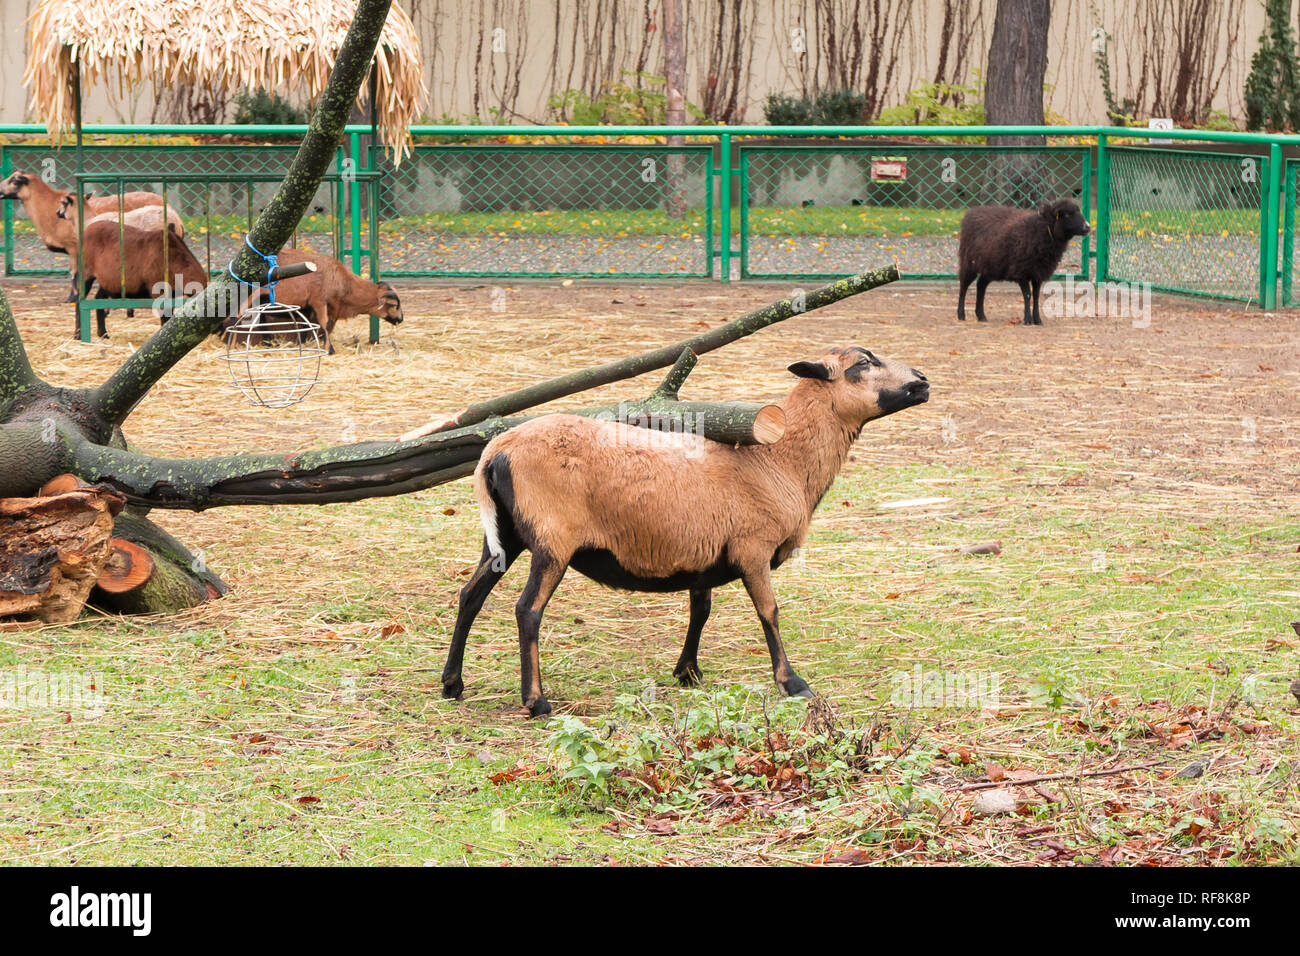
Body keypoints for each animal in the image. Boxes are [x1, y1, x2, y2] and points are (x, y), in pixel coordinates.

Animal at [236, 251, 403, 356]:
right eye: (394, 305)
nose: (401, 319)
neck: (345, 284)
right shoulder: (319, 301)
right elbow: (323, 324)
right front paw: (329, 350)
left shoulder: (311, 307)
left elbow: (309, 325)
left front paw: (304, 344)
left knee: (262, 320)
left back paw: (268, 342)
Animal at [441, 345, 930, 717]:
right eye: (861, 364)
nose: (923, 381)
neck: (780, 459)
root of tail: (495, 450)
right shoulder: (752, 548)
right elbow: (769, 613)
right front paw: (792, 683)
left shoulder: (704, 552)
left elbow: (702, 609)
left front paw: (688, 672)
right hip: (551, 540)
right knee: (527, 610)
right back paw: (536, 701)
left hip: (504, 535)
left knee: (470, 595)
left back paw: (452, 683)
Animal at [961, 197, 1092, 325]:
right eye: (1067, 215)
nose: (1088, 226)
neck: (1041, 230)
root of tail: (971, 212)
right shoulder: (1021, 271)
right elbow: (1028, 295)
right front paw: (1028, 319)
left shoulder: (1038, 272)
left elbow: (1036, 296)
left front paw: (1038, 320)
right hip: (968, 262)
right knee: (964, 285)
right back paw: (961, 314)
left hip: (991, 267)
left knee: (981, 284)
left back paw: (981, 316)